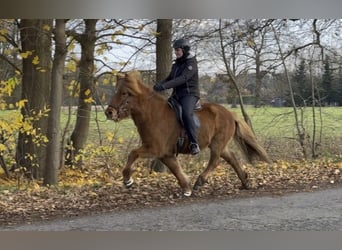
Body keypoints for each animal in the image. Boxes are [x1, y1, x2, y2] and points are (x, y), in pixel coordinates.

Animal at [104, 71, 270, 197]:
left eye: (124, 93)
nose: (109, 112)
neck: (153, 114)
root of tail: (230, 114)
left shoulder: (154, 149)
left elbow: (133, 153)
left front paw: (128, 180)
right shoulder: (165, 154)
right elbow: (175, 169)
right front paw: (186, 188)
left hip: (217, 143)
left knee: (215, 161)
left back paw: (200, 182)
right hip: (220, 145)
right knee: (232, 159)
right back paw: (245, 182)